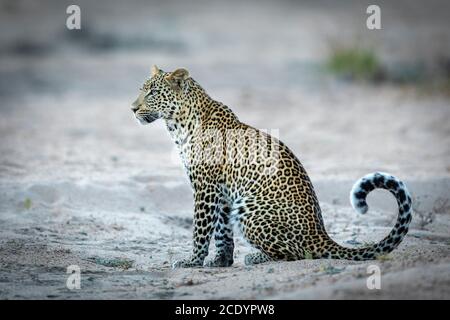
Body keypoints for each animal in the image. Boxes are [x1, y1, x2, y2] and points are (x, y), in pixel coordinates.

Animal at [130, 65, 412, 268]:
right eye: (141, 89)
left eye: (152, 93)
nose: (132, 108)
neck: (179, 124)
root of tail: (321, 235)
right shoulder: (221, 191)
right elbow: (222, 230)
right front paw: (221, 261)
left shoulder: (205, 187)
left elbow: (201, 229)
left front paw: (192, 261)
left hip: (249, 209)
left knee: (298, 253)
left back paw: (257, 257)